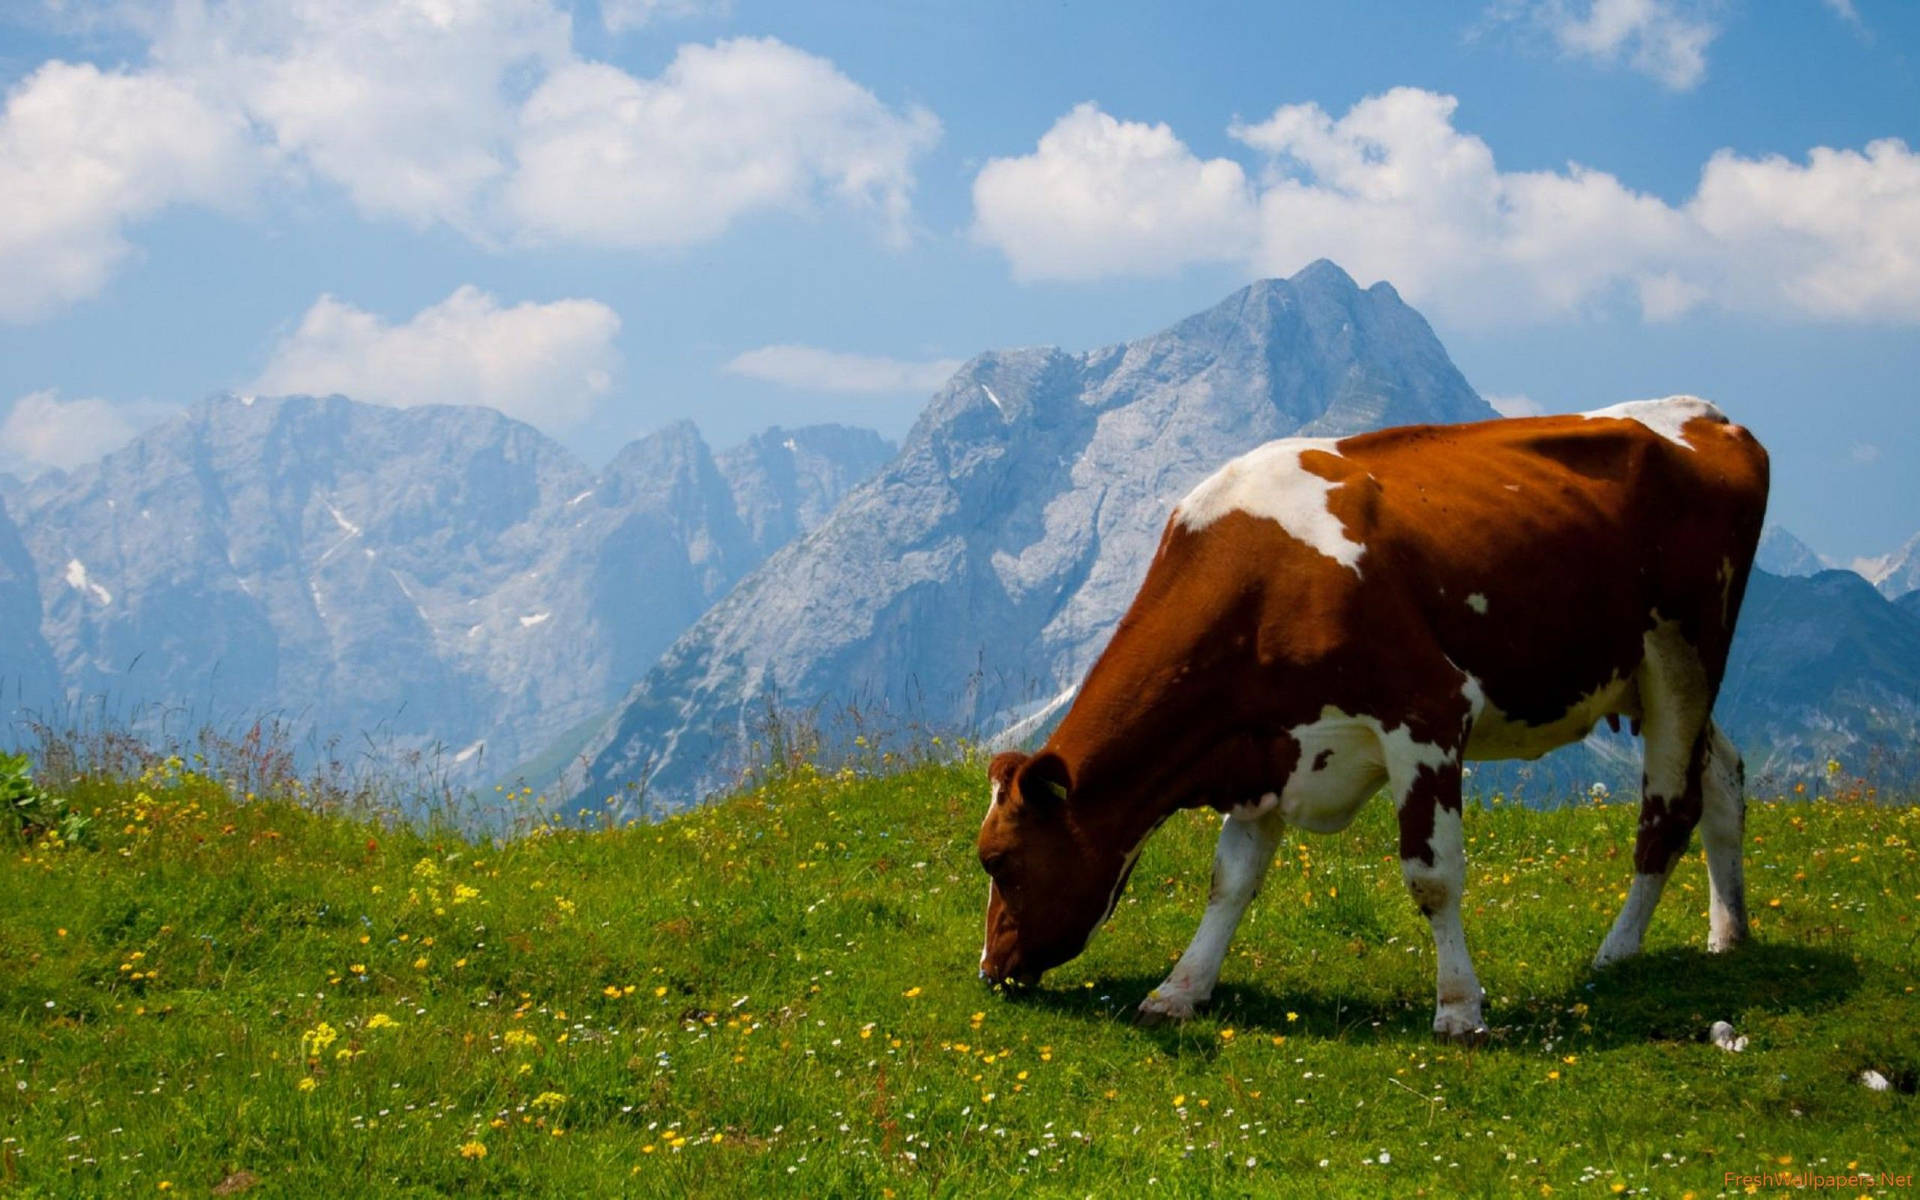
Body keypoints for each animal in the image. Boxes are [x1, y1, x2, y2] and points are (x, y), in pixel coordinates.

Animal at [975, 397, 1766, 1036]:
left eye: (997, 860)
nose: (990, 970)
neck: (1262, 579)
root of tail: (1709, 415)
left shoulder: (1428, 712)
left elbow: (1432, 874)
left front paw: (1459, 1008)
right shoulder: (1265, 745)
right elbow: (1230, 879)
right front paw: (1180, 990)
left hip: (1684, 657)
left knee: (1668, 811)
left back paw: (1617, 951)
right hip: (1647, 682)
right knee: (1724, 777)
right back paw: (1728, 933)